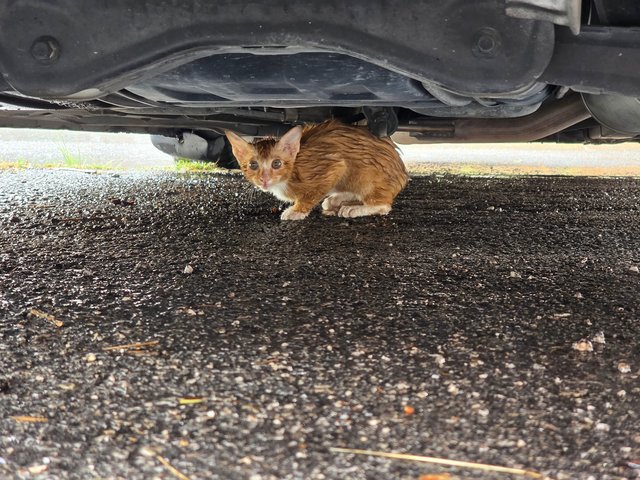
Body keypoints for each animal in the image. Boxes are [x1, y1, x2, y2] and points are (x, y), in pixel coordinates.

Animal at [224, 121, 404, 220]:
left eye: (276, 163)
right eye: (253, 165)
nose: (264, 180)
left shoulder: (334, 166)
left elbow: (310, 196)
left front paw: (296, 211)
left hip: (366, 177)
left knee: (384, 206)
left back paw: (355, 208)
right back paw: (336, 200)